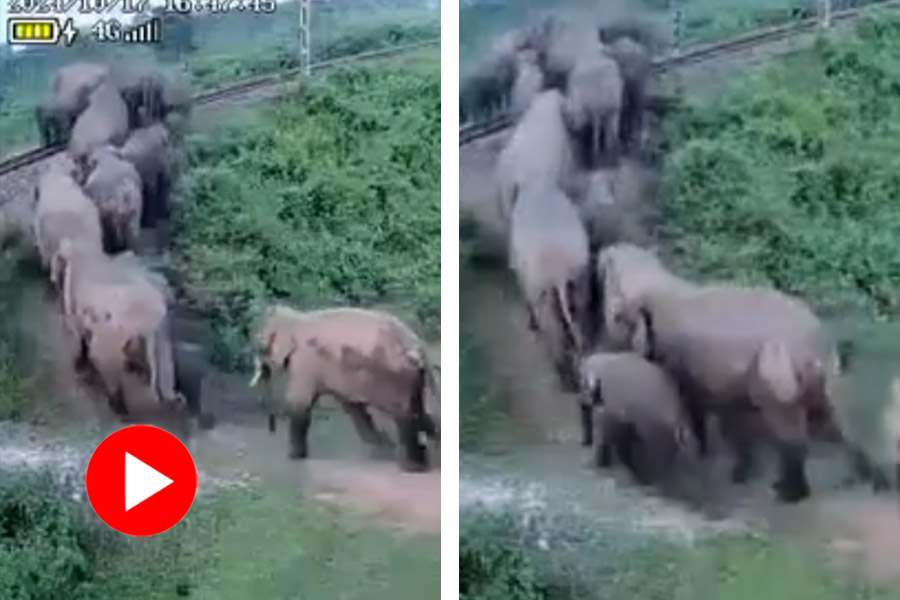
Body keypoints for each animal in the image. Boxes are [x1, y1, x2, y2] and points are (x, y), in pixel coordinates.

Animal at [250, 308, 440, 472]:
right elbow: (353, 407)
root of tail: (418, 343)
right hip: (413, 377)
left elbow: (300, 403)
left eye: (260, 347)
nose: (272, 427)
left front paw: (294, 457)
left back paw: (412, 467)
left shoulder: (305, 360)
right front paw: (382, 452)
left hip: (397, 376)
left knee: (405, 415)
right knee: (421, 412)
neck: (296, 318)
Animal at [510, 180, 596, 392]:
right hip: (580, 281)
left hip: (544, 289)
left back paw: (565, 379)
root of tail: (559, 269)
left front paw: (531, 325)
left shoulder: (521, 272)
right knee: (579, 320)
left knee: (553, 332)